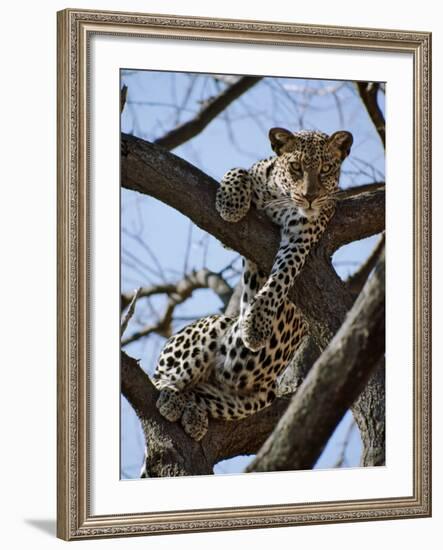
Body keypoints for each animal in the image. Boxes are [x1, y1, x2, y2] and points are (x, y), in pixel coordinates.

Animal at [152, 127, 354, 442]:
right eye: (295, 167)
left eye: (326, 169)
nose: (310, 197)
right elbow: (240, 170)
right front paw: (231, 203)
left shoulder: (302, 234)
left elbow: (282, 276)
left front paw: (257, 325)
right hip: (211, 328)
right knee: (162, 378)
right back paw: (171, 396)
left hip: (253, 398)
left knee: (200, 393)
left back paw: (192, 413)